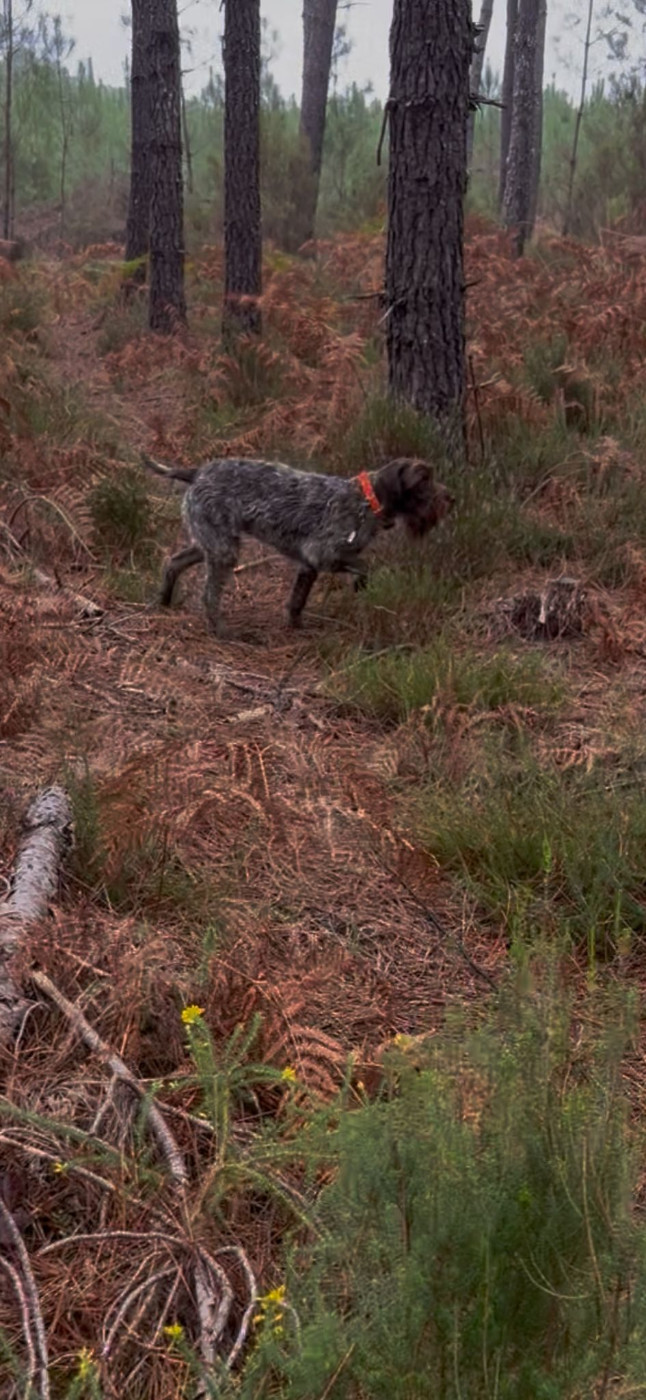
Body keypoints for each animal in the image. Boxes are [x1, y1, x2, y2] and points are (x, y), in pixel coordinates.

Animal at [143, 454, 454, 633]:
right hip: (222, 550)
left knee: (173, 563)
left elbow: (297, 600)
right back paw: (221, 631)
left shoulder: (309, 566)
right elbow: (365, 565)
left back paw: (164, 601)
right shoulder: (324, 554)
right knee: (209, 595)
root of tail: (197, 472)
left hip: (210, 542)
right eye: (423, 480)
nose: (451, 498)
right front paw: (360, 584)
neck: (367, 501)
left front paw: (295, 627)